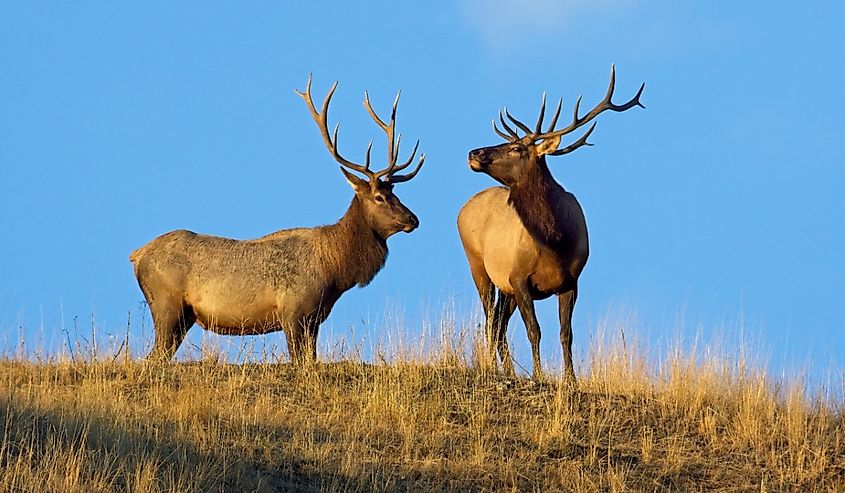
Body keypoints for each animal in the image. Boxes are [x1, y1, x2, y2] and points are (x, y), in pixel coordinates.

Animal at [129, 77, 426, 362]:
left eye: (395, 192)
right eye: (379, 197)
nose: (414, 219)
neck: (334, 270)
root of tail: (137, 255)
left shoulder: (314, 319)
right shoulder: (293, 311)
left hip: (183, 316)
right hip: (167, 306)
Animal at [458, 65, 644, 380]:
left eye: (517, 148)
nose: (474, 153)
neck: (555, 241)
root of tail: (463, 208)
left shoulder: (571, 281)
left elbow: (565, 333)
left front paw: (571, 379)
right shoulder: (518, 277)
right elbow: (534, 330)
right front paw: (539, 375)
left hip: (503, 285)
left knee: (498, 323)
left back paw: (508, 370)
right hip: (477, 264)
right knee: (490, 321)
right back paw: (494, 367)